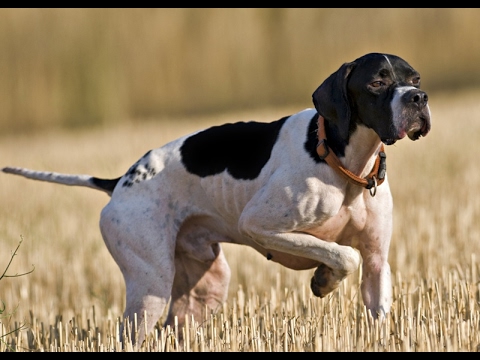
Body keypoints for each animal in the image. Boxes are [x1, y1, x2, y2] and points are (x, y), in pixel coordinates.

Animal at [2, 52, 432, 344]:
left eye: (414, 77)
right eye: (377, 82)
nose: (418, 97)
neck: (345, 165)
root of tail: (121, 180)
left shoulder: (377, 263)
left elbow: (366, 282)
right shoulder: (261, 226)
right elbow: (341, 253)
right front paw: (324, 280)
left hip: (203, 289)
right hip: (149, 286)